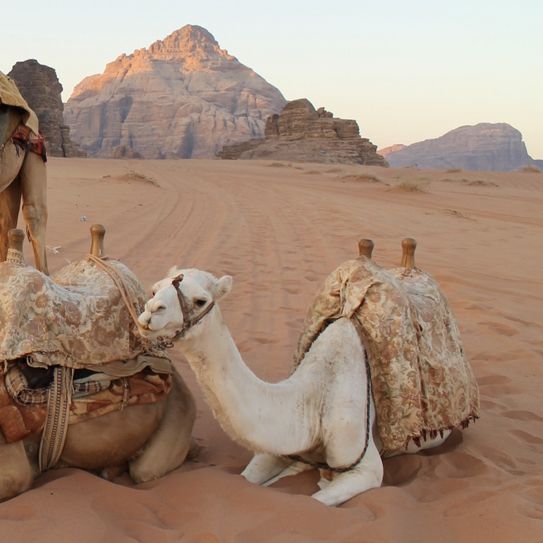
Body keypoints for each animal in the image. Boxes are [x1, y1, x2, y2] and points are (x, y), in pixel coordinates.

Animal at [138, 270, 452, 508]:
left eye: (200, 300)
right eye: (155, 289)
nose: (150, 312)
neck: (313, 398)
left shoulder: (365, 466)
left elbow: (316, 501)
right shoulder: (275, 446)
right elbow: (246, 479)